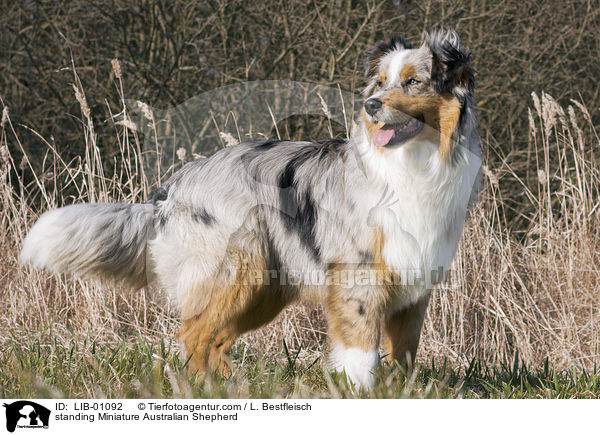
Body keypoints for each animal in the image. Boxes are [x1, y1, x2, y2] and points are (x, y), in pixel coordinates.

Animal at [21, 31, 480, 392]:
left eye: (414, 81)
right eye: (380, 83)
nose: (370, 104)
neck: (412, 165)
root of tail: (171, 188)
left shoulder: (414, 286)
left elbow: (404, 353)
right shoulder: (358, 278)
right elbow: (359, 353)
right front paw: (359, 393)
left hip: (264, 289)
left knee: (216, 339)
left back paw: (229, 385)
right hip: (237, 271)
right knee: (194, 332)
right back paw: (202, 389)